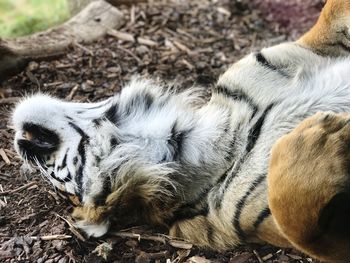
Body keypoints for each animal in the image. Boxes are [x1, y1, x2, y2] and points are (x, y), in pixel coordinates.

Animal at [11, 0, 350, 262]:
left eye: (55, 182)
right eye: (63, 189)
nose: (20, 144)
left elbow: (330, 12)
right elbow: (290, 210)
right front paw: (323, 137)